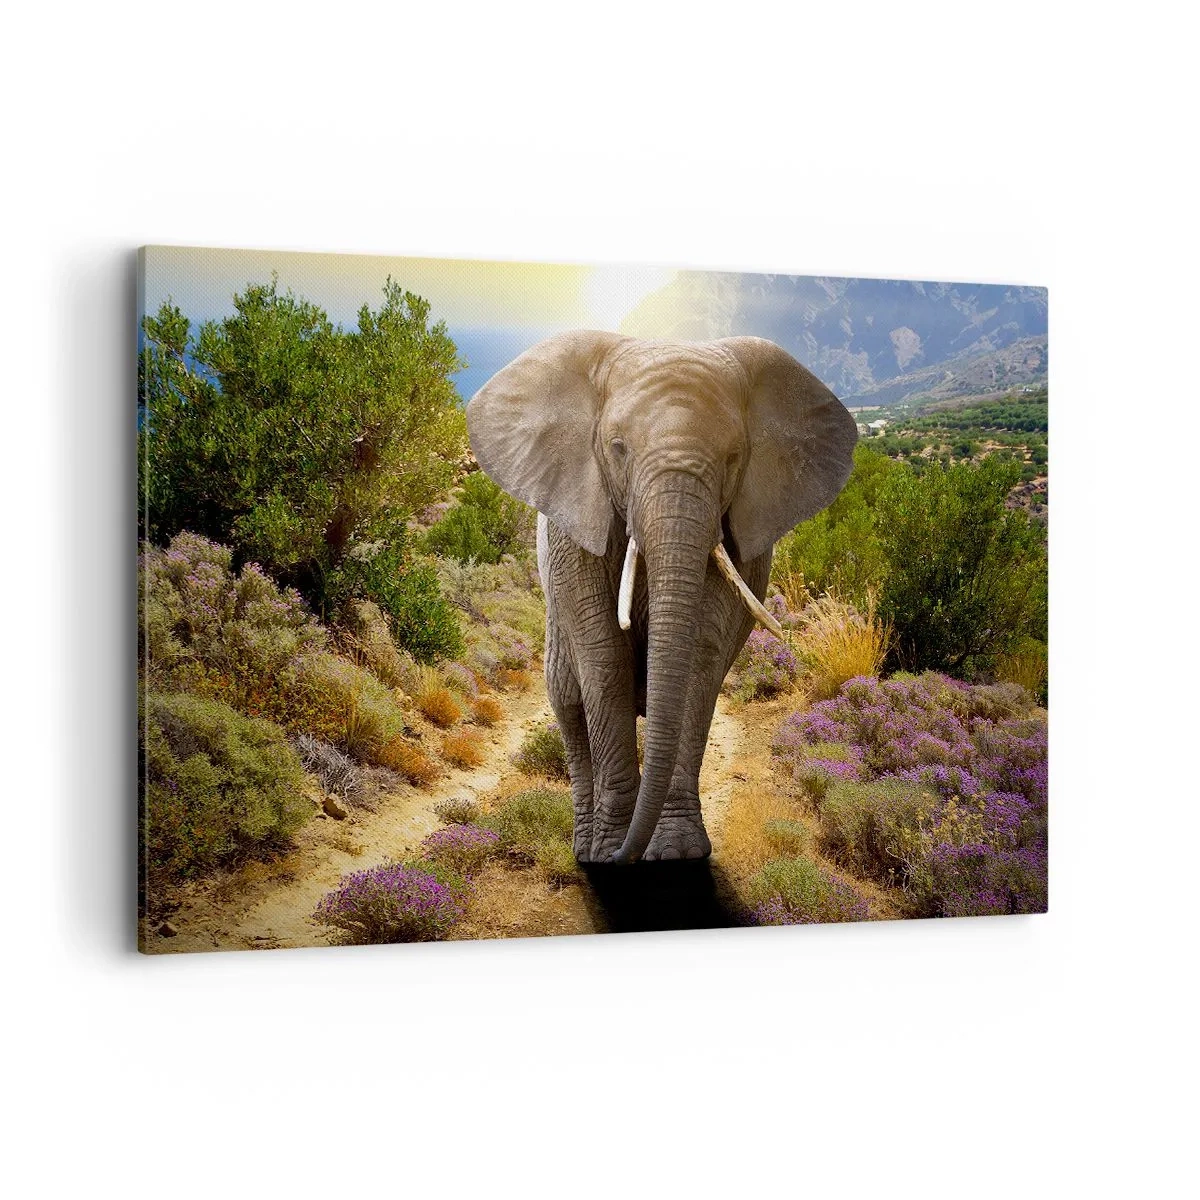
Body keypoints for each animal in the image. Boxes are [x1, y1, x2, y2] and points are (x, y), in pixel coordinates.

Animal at [466, 332, 856, 864]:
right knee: (568, 701)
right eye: (617, 448)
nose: (621, 857)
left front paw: (675, 852)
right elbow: (604, 657)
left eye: (734, 458)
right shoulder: (577, 526)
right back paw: (585, 849)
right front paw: (611, 851)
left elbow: (697, 658)